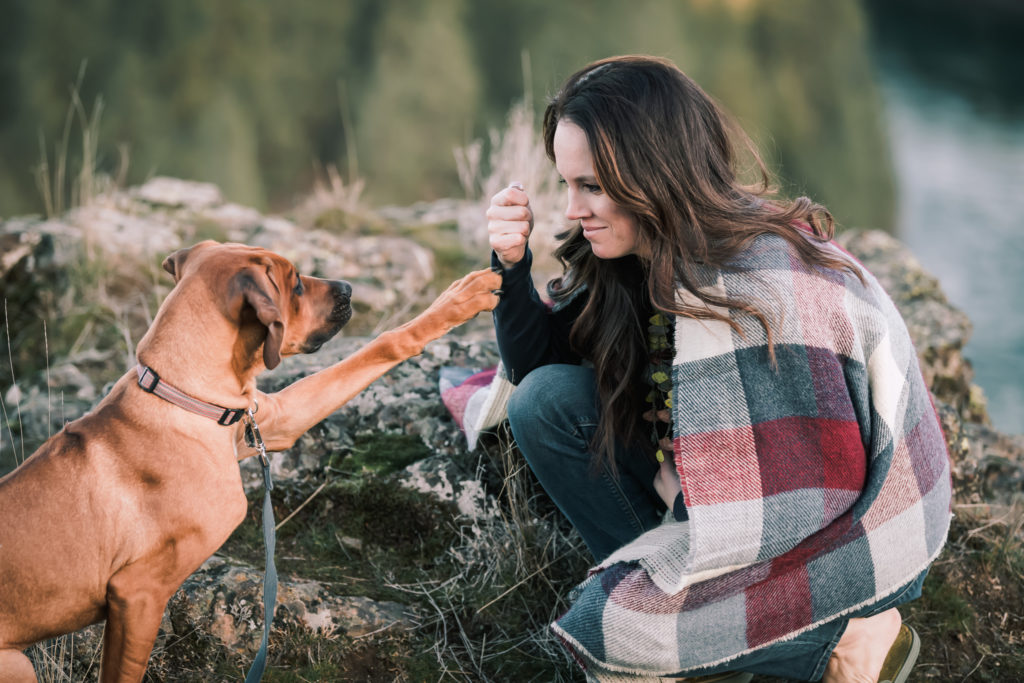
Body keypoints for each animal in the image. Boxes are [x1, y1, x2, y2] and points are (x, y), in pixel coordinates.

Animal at [0, 241, 499, 683]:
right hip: (19, 664)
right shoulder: (136, 595)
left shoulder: (274, 420)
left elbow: (381, 346)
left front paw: (462, 297)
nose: (348, 287)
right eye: (294, 283)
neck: (185, 395)